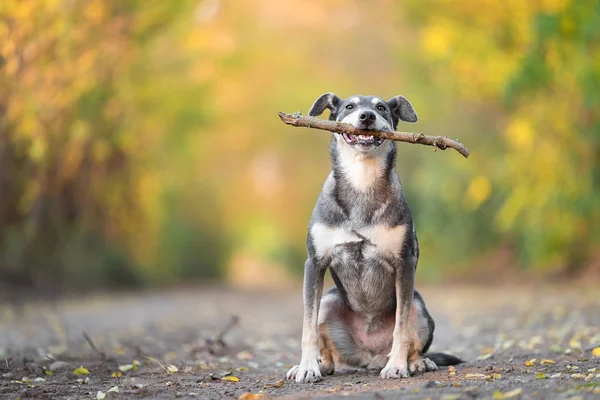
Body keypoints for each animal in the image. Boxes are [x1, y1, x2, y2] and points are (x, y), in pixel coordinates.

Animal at [286, 92, 464, 382]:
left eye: (381, 108)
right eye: (349, 106)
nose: (367, 116)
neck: (362, 179)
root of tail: (369, 357)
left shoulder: (403, 264)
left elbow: (401, 328)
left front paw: (398, 366)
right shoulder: (314, 263)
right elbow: (307, 329)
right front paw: (307, 367)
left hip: (420, 307)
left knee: (413, 342)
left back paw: (416, 362)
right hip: (329, 301)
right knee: (331, 355)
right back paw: (320, 365)